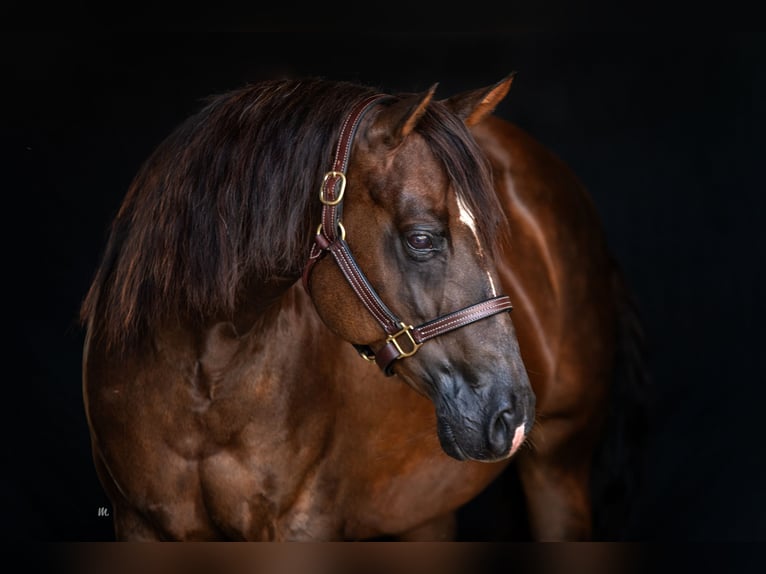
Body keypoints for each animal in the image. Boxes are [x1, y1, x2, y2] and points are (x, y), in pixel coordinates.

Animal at [80, 75, 647, 541]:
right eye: (422, 238)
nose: (513, 413)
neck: (203, 376)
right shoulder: (138, 525)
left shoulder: (303, 526)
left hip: (559, 469)